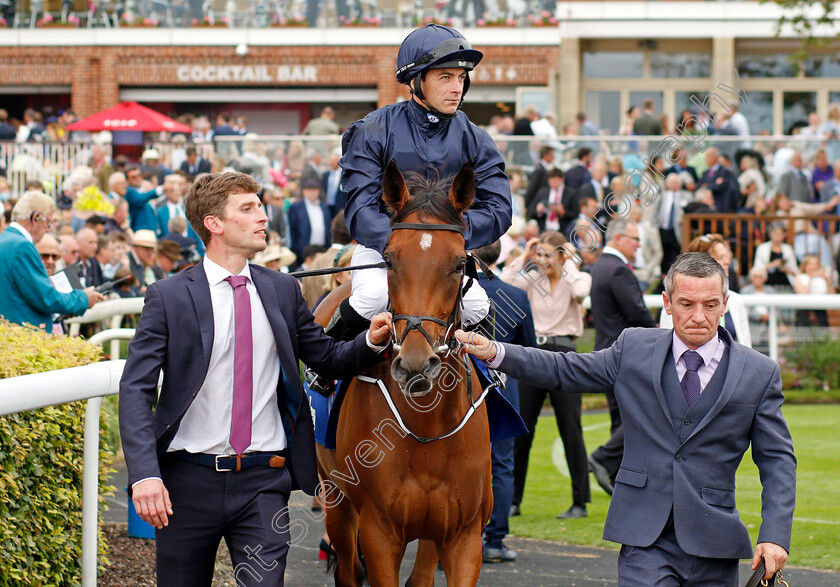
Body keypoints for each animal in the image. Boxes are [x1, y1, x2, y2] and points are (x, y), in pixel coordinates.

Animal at [312, 162, 488, 587]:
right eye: (389, 259)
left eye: (459, 263)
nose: (415, 364)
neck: (428, 427)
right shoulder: (379, 533)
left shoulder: (464, 535)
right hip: (336, 499)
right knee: (347, 570)